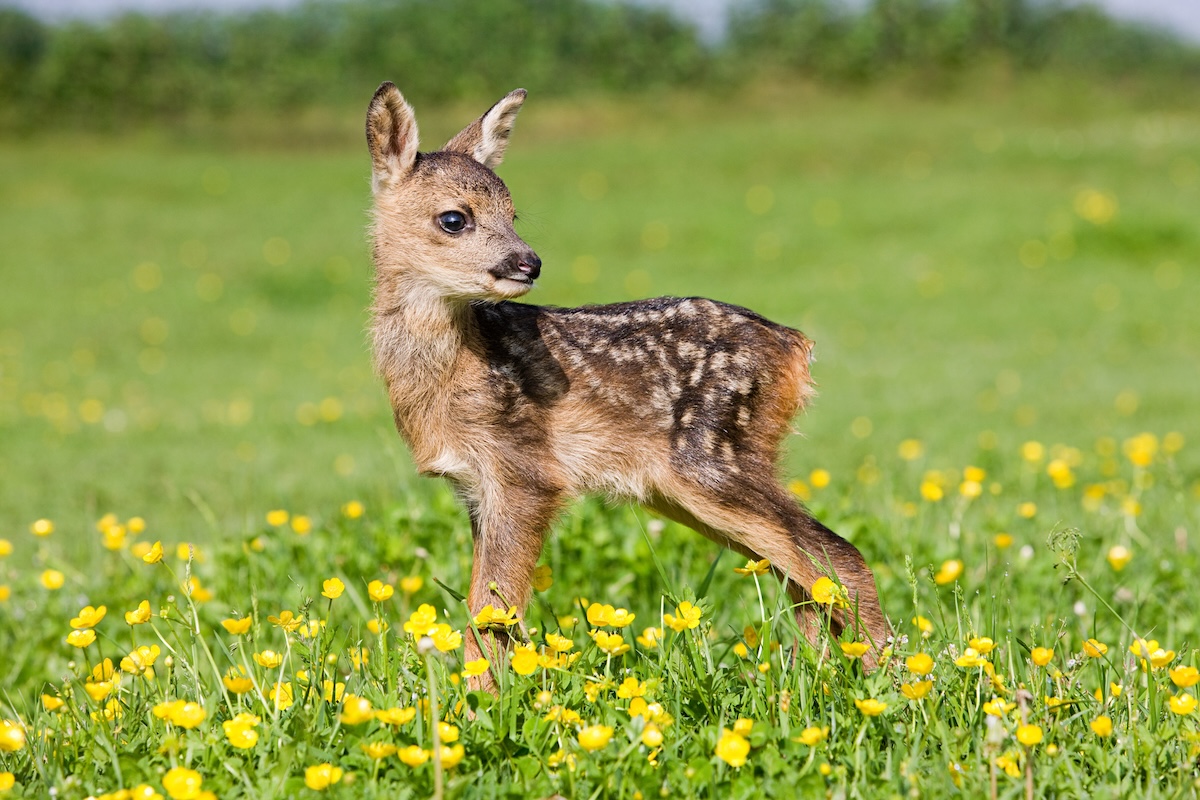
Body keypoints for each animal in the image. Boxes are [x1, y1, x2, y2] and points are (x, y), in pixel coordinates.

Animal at [365, 82, 890, 691]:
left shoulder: (525, 473)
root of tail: (796, 347)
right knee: (805, 582)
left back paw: (893, 679)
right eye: (454, 219)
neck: (451, 373)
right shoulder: (476, 486)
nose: (529, 262)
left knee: (839, 559)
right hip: (690, 483)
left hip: (710, 458)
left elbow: (491, 616)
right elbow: (485, 609)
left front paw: (483, 706)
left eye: (514, 213)